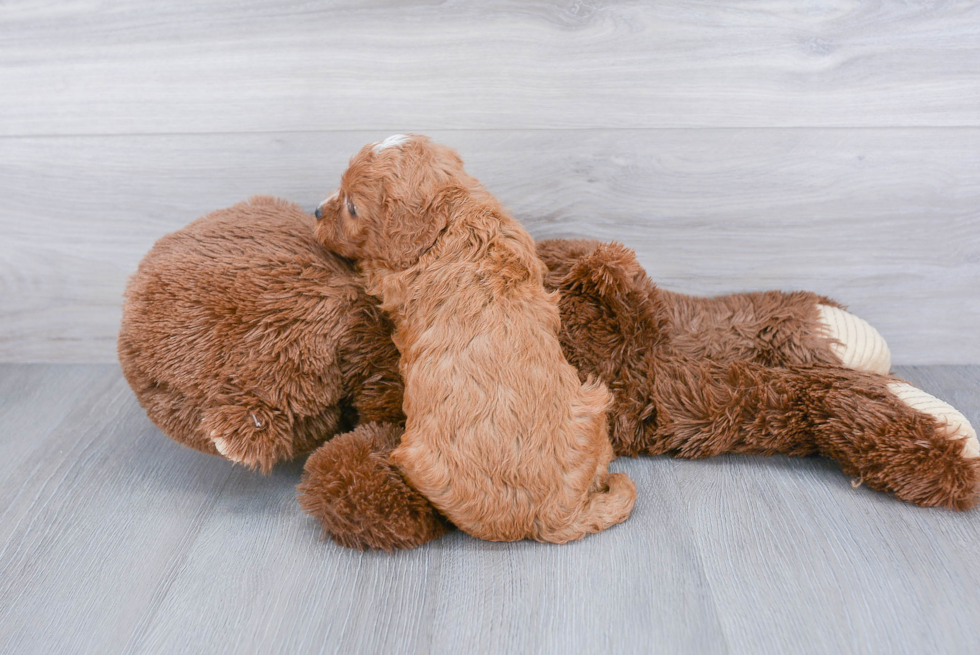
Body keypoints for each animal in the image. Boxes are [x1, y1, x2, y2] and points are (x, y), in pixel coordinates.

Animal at [312, 135, 636, 544]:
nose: (316, 211)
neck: (457, 214)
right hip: (593, 408)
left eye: (352, 206)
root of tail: (551, 517)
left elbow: (371, 269)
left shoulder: (393, 278)